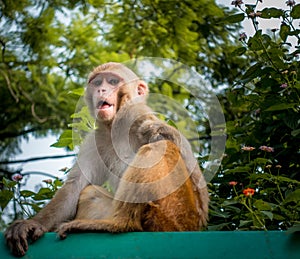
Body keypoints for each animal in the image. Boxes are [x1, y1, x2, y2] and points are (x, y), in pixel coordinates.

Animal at [5, 63, 210, 258]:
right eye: (97, 83)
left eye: (112, 81)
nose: (101, 90)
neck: (116, 127)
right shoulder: (98, 138)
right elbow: (75, 186)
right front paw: (32, 224)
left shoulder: (138, 114)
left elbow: (196, 181)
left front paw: (159, 131)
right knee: (90, 193)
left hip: (176, 213)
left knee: (159, 149)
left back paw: (120, 224)